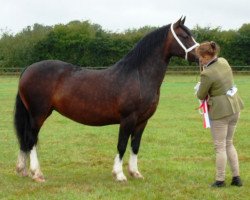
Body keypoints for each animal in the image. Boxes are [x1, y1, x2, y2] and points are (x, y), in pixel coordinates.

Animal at [14, 17, 199, 183]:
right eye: (184, 36)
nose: (200, 55)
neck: (138, 75)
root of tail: (27, 69)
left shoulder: (142, 121)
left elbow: (135, 146)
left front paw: (135, 173)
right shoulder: (128, 119)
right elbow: (122, 145)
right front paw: (119, 175)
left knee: (27, 139)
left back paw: (23, 170)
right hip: (38, 114)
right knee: (31, 139)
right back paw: (37, 174)